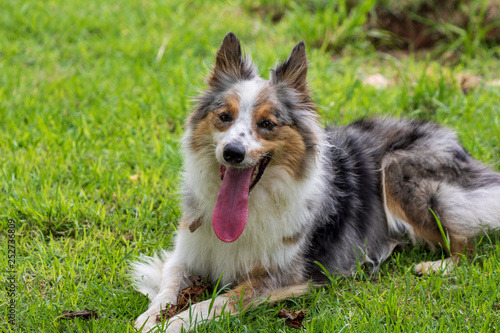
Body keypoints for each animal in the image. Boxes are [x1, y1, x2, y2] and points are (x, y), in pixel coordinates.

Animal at [132, 31, 500, 332]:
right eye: (224, 117)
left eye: (267, 124)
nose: (233, 153)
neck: (255, 204)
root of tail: (453, 142)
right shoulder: (187, 252)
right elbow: (168, 285)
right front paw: (151, 317)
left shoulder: (282, 275)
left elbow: (217, 302)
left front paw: (177, 322)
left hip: (398, 169)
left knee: (468, 245)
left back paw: (434, 266)